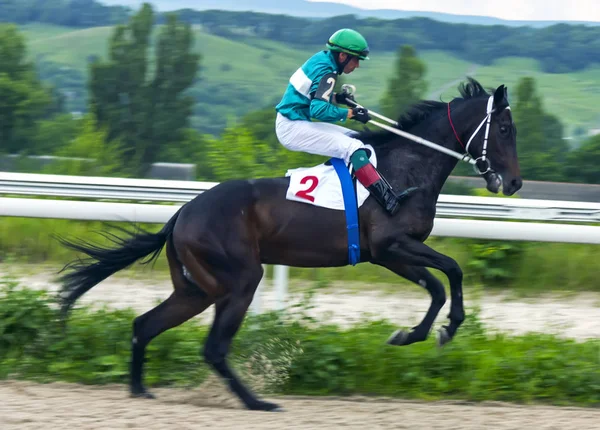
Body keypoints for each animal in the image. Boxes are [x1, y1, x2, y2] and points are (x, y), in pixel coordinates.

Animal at [56, 77, 520, 410]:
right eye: (503, 128)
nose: (513, 183)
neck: (406, 169)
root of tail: (182, 213)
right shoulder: (391, 246)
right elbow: (450, 273)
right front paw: (437, 329)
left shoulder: (389, 255)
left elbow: (439, 284)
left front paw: (417, 334)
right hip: (241, 279)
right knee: (214, 348)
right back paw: (255, 402)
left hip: (196, 288)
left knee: (145, 325)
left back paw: (140, 389)